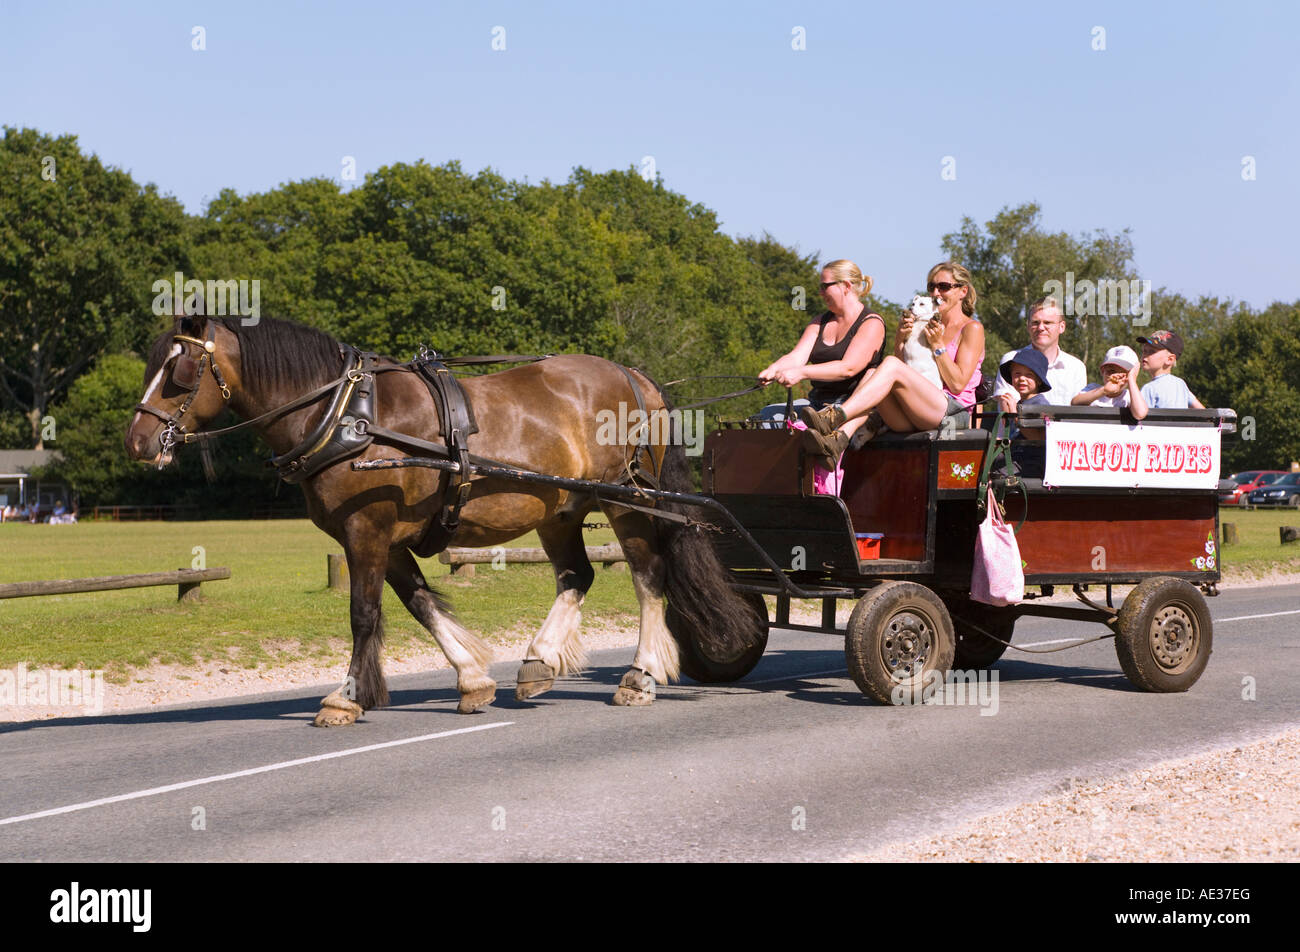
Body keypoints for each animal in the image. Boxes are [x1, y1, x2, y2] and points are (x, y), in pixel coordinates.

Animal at [124, 316, 759, 723]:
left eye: (181, 373)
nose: (138, 442)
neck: (347, 416)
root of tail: (635, 376)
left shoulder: (366, 530)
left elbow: (363, 614)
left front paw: (346, 696)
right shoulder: (386, 538)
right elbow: (421, 604)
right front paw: (473, 680)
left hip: (627, 499)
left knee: (649, 577)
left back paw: (641, 674)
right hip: (560, 506)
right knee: (576, 576)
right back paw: (537, 663)